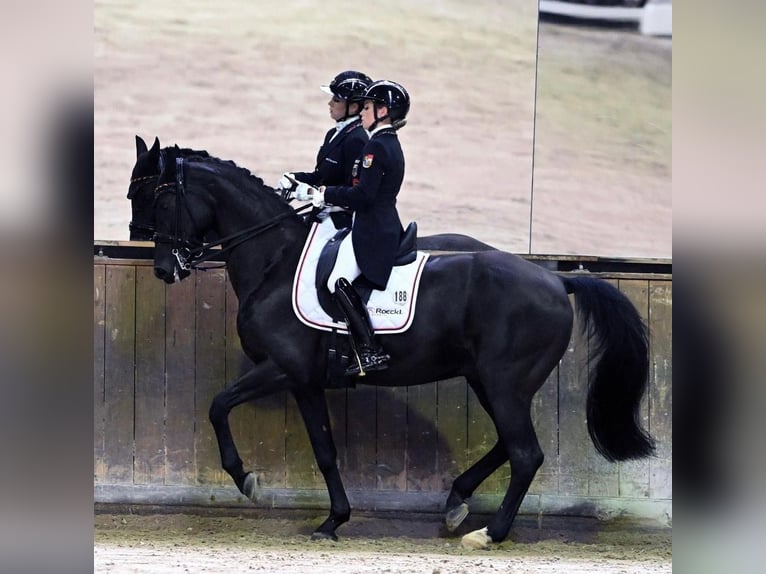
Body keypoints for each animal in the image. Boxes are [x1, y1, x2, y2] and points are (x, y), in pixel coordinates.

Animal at [148, 147, 656, 548]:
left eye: (163, 199)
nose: (164, 269)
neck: (277, 260)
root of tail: (557, 280)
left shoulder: (282, 367)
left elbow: (218, 406)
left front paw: (246, 479)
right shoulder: (305, 381)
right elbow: (324, 450)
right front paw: (333, 521)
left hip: (504, 383)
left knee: (526, 453)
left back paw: (489, 533)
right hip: (489, 381)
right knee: (510, 446)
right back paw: (456, 502)